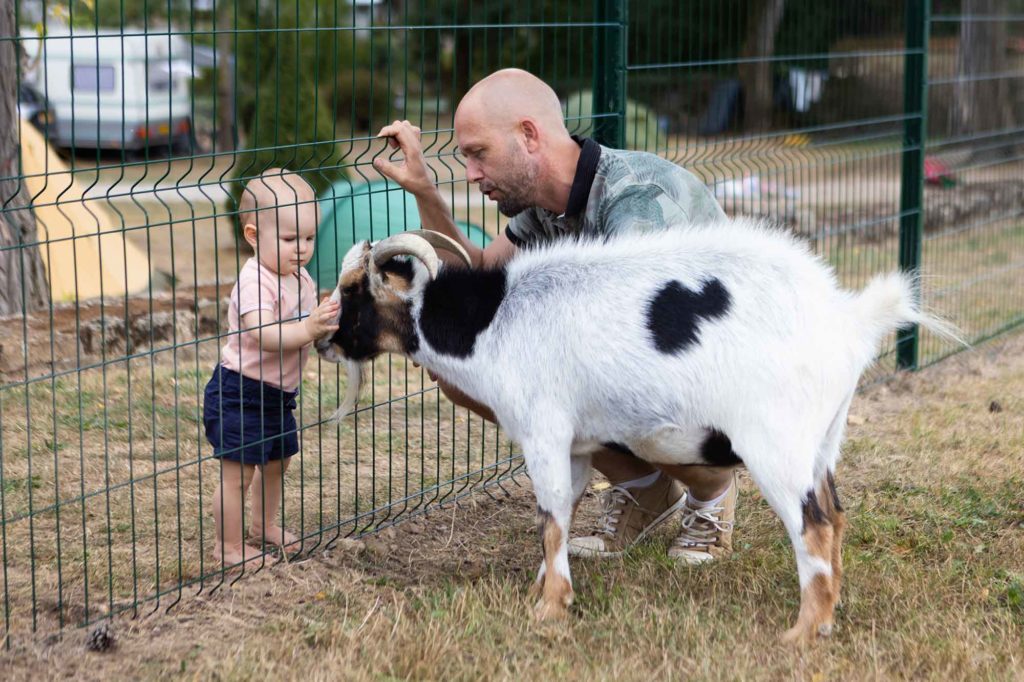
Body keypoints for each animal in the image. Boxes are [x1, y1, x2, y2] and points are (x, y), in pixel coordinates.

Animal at [315, 220, 954, 638]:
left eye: (353, 291)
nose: (323, 339)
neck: (492, 321)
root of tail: (847, 319)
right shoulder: (575, 447)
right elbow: (562, 513)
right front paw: (542, 591)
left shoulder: (544, 432)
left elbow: (550, 517)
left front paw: (550, 611)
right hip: (822, 440)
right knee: (836, 516)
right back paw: (827, 614)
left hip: (776, 446)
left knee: (814, 526)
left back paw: (802, 635)